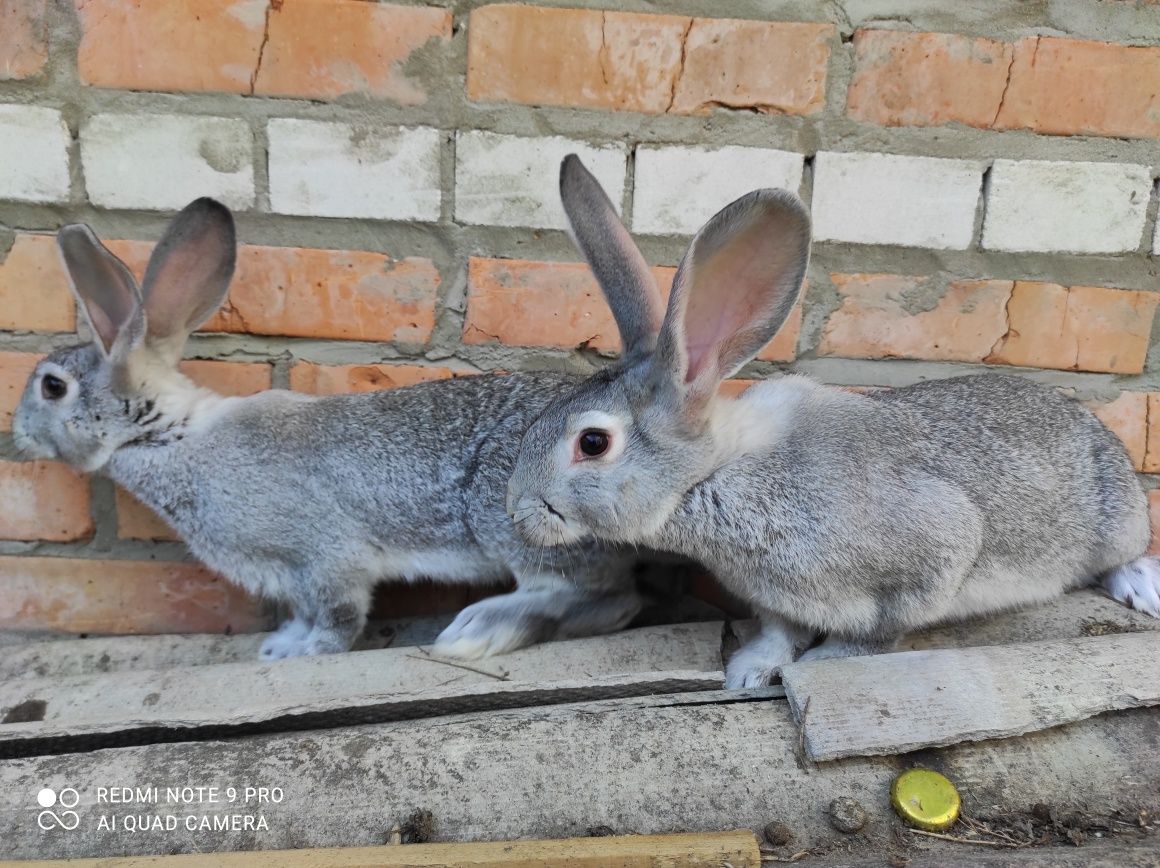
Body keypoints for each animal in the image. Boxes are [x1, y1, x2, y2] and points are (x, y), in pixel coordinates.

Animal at [11, 198, 644, 659]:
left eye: (51, 387)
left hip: (516, 521)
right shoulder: (291, 577)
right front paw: (280, 643)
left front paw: (305, 652)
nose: (16, 434)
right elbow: (303, 611)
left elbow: (337, 613)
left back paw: (483, 630)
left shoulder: (323, 557)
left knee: (600, 594)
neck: (171, 433)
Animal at [508, 154, 1160, 686]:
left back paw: (1140, 590)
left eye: (593, 442)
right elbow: (778, 633)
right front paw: (749, 672)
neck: (714, 475)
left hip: (1116, 520)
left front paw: (824, 661)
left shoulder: (931, 559)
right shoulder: (776, 600)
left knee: (1124, 553)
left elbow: (874, 634)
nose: (517, 515)